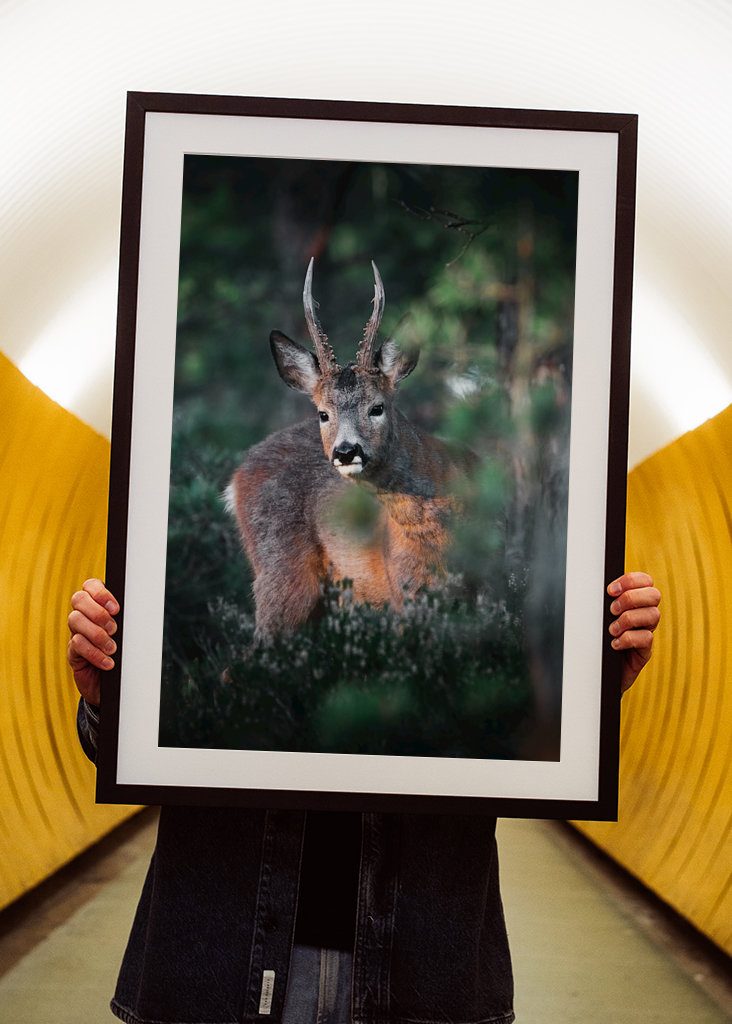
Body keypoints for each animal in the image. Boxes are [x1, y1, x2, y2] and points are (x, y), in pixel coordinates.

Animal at [227, 259, 470, 635]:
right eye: (323, 413)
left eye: (377, 407)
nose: (345, 451)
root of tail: (237, 475)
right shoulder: (404, 593)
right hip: (281, 571)